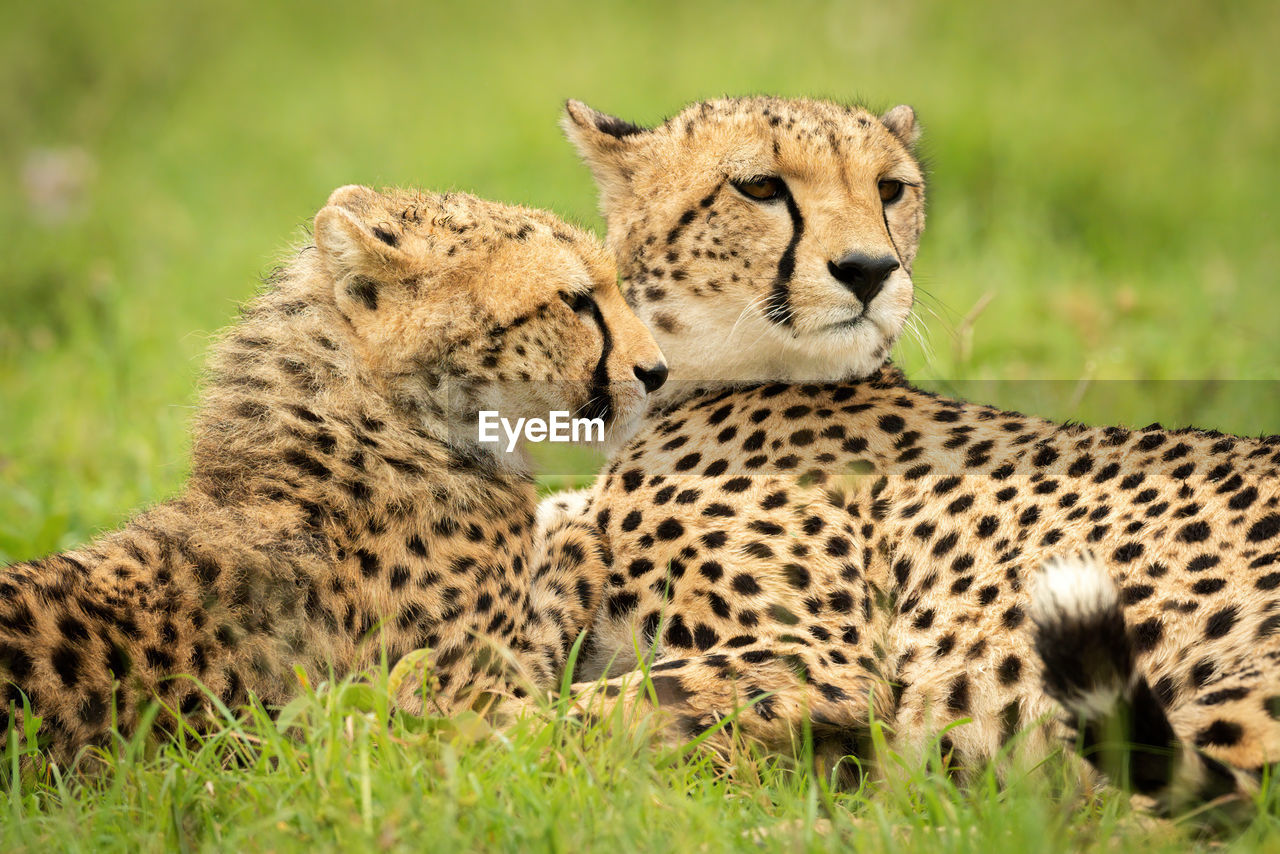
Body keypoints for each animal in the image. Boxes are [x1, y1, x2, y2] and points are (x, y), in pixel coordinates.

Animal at [2, 184, 670, 763]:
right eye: (576, 301)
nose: (658, 371)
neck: (383, 416)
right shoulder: (445, 704)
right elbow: (557, 594)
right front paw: (575, 526)